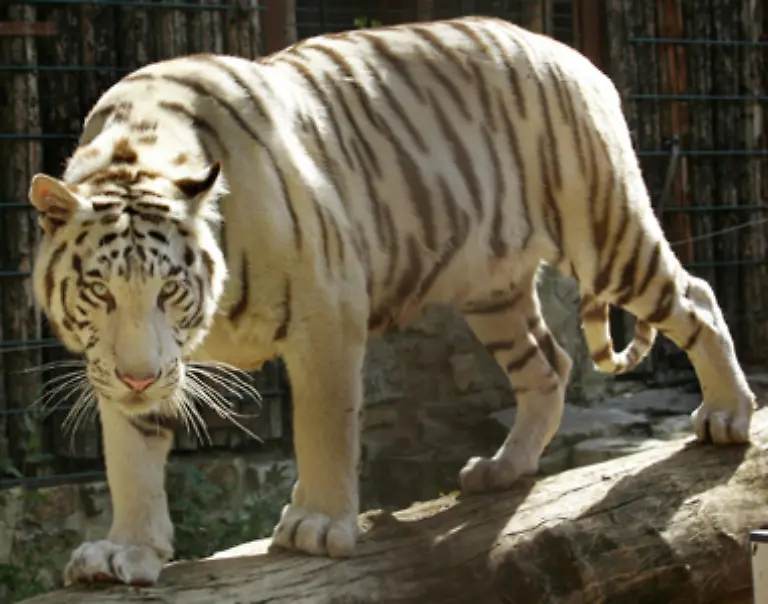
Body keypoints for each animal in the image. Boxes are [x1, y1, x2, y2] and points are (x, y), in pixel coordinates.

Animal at [28, 15, 756, 587]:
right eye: (100, 289)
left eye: (170, 289)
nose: (139, 376)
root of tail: (575, 56)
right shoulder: (122, 364)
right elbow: (131, 458)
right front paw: (126, 551)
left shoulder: (326, 313)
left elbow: (323, 428)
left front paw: (318, 523)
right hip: (490, 288)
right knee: (549, 366)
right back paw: (504, 468)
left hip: (603, 233)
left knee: (696, 297)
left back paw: (727, 416)